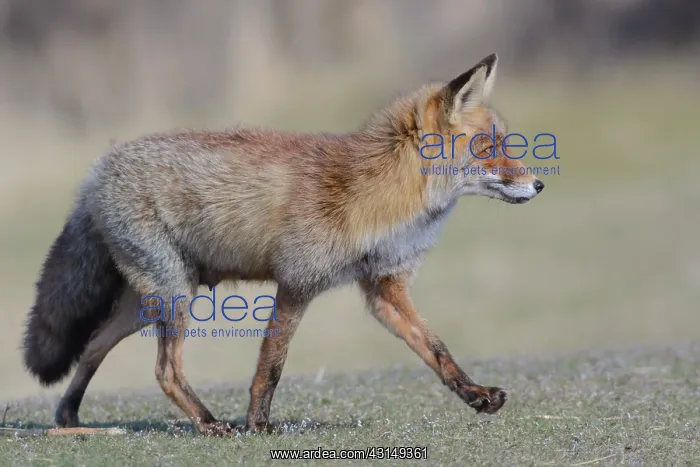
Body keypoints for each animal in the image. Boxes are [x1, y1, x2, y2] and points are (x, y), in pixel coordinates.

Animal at [22, 53, 544, 436]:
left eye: (504, 143)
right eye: (488, 147)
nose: (538, 185)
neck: (380, 193)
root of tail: (95, 172)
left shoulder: (384, 288)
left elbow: (436, 348)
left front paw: (476, 395)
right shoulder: (297, 283)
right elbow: (270, 364)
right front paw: (258, 424)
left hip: (150, 301)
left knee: (93, 345)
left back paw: (68, 417)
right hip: (174, 295)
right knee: (164, 371)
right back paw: (210, 424)